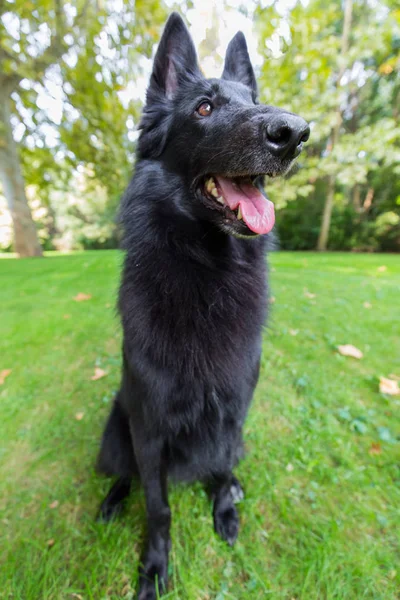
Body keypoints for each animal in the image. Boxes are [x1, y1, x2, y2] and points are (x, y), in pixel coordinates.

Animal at [97, 11, 310, 596]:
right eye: (205, 108)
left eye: (253, 99)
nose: (295, 133)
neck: (208, 273)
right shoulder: (149, 429)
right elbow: (159, 508)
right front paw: (154, 566)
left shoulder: (232, 414)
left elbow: (217, 469)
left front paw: (224, 512)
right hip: (117, 424)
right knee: (122, 475)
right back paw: (111, 501)